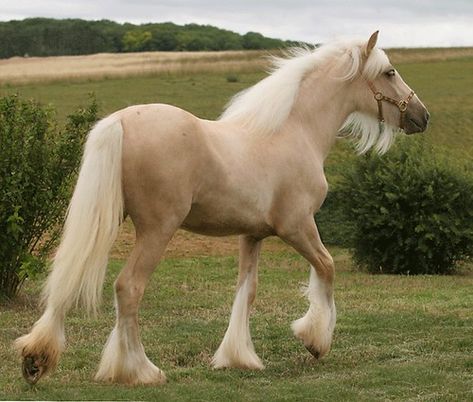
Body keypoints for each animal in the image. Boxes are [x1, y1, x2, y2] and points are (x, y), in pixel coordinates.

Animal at [14, 30, 428, 384]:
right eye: (389, 72)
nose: (421, 116)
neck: (294, 132)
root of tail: (120, 120)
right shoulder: (297, 226)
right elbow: (326, 268)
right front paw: (314, 340)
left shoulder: (253, 235)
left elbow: (247, 290)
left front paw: (237, 357)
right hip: (157, 229)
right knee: (128, 287)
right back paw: (141, 371)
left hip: (107, 220)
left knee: (68, 278)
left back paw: (38, 358)